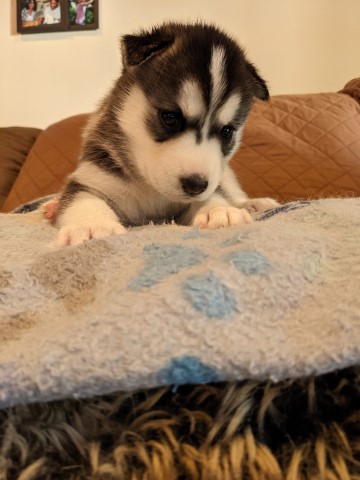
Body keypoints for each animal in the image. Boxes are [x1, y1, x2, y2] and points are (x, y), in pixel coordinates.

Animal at [55, 20, 278, 246]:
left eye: (227, 131)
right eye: (170, 117)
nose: (196, 184)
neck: (150, 190)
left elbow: (215, 193)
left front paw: (219, 210)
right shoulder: (92, 178)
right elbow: (83, 199)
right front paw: (91, 226)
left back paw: (253, 203)